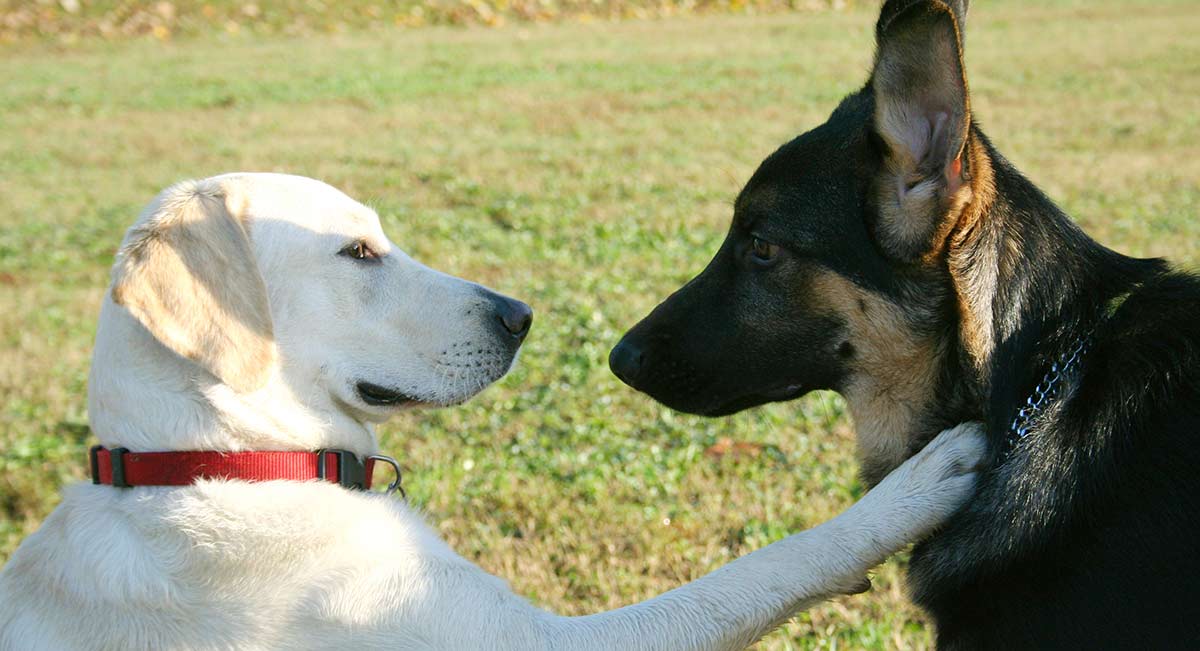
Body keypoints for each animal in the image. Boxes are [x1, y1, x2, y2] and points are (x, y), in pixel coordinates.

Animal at [0, 175, 984, 651]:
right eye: (358, 252)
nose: (519, 315)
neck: (220, 461)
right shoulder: (552, 641)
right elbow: (754, 573)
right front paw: (910, 489)